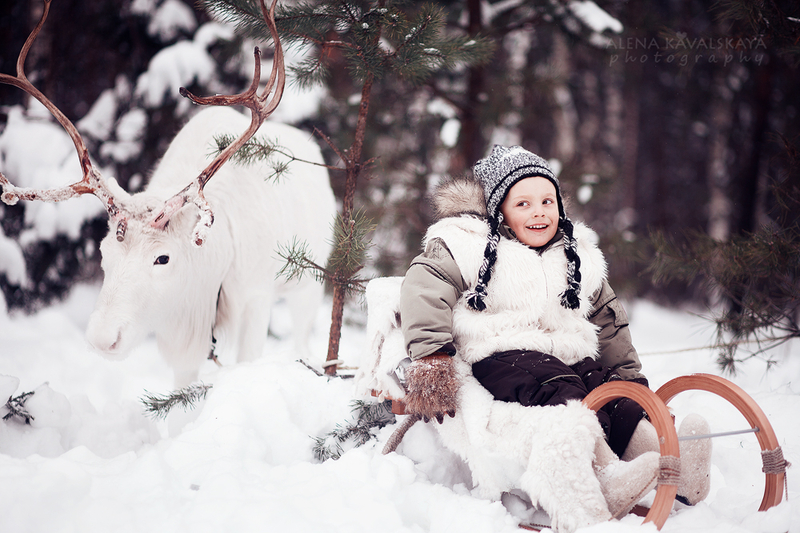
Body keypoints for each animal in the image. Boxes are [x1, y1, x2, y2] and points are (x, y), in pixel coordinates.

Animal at [0, 0, 336, 387]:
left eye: (162, 258)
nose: (102, 339)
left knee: (303, 337)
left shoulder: (256, 296)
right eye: (103, 252)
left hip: (308, 282)